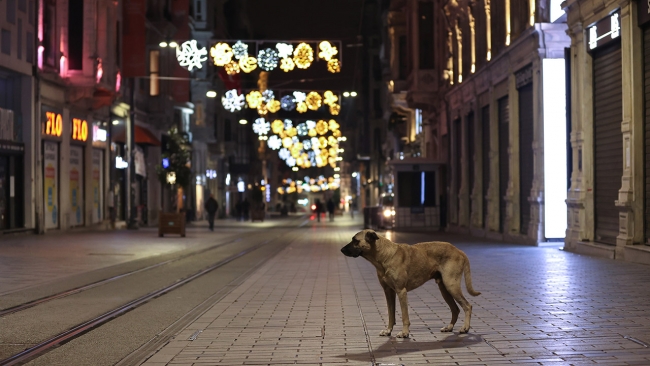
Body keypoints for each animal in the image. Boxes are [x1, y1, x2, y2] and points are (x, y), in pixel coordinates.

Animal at [340, 229, 476, 338]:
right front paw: (388, 331)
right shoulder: (388, 292)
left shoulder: (401, 291)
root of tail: (459, 250)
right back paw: (449, 327)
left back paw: (465, 328)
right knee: (455, 309)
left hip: (451, 286)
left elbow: (405, 316)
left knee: (467, 306)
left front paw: (404, 333)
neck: (384, 255)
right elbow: (391, 314)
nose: (341, 250)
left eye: (355, 241)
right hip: (445, 289)